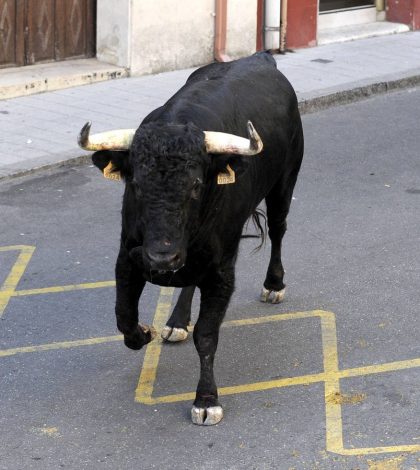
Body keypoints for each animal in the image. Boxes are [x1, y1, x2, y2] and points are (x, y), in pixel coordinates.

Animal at [83, 52, 304, 426]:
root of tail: (261, 58)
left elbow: (207, 334)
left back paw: (274, 284)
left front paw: (206, 399)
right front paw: (144, 332)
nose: (162, 258)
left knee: (278, 229)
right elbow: (124, 316)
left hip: (284, 182)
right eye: (136, 184)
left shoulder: (221, 271)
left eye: (196, 185)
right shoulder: (127, 256)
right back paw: (176, 321)